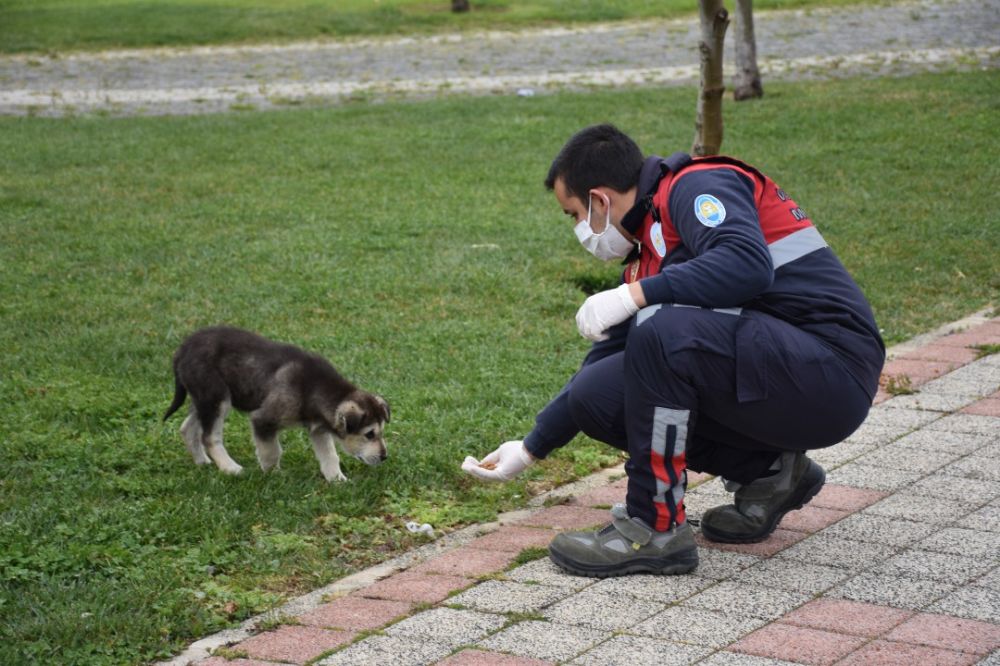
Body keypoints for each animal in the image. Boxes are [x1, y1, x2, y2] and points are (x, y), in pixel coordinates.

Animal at [162, 324, 388, 480]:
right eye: (369, 434)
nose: (385, 457)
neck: (314, 388)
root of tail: (182, 349)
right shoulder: (263, 420)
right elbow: (271, 451)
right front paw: (273, 475)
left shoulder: (318, 429)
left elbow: (330, 456)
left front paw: (338, 479)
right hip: (217, 398)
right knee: (209, 437)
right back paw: (230, 468)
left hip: (203, 398)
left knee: (187, 427)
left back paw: (202, 462)